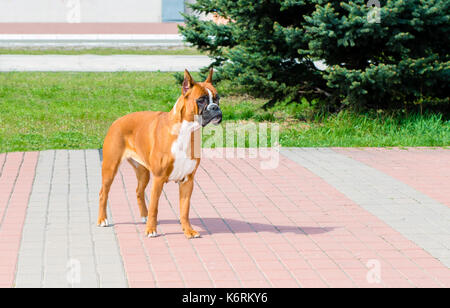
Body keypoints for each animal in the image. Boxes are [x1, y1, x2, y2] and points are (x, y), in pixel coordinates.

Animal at [99, 69, 223, 238]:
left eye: (217, 99)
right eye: (201, 100)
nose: (215, 108)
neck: (186, 130)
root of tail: (117, 121)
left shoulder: (188, 181)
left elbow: (185, 210)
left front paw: (188, 230)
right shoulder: (158, 179)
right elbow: (154, 207)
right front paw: (151, 230)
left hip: (143, 172)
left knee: (139, 191)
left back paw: (143, 215)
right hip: (110, 168)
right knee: (103, 193)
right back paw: (102, 219)